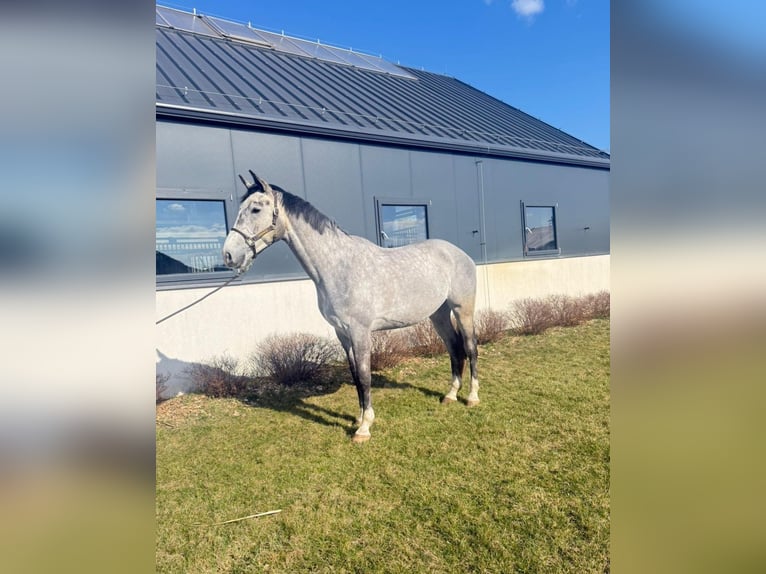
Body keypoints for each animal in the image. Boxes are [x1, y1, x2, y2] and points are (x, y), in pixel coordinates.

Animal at [222, 170, 480, 442]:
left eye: (256, 209)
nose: (228, 255)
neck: (339, 266)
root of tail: (460, 254)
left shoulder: (360, 332)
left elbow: (365, 377)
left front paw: (364, 428)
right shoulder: (342, 334)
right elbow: (355, 376)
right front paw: (358, 418)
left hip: (463, 310)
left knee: (470, 348)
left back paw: (472, 397)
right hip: (438, 314)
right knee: (454, 348)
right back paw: (450, 395)